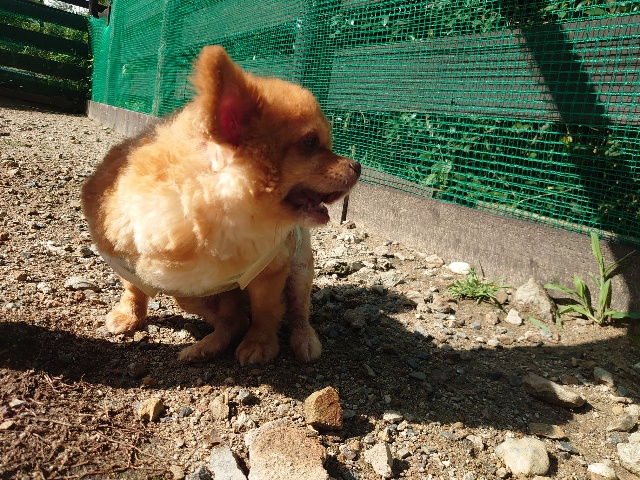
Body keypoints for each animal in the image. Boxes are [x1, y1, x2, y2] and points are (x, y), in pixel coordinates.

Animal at [81, 46, 360, 365]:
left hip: (300, 268)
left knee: (296, 309)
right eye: (311, 142)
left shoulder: (271, 270)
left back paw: (304, 340)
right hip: (188, 294)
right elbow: (134, 287)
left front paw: (260, 344)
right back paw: (205, 346)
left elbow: (265, 312)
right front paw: (129, 314)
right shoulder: (129, 262)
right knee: (233, 318)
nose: (357, 166)